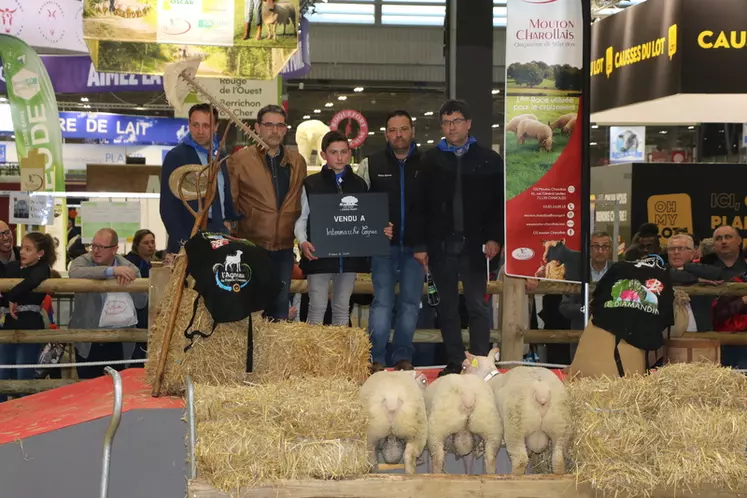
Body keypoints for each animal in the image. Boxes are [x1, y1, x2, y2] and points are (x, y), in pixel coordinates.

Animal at [462, 348, 572, 476]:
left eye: (464, 366)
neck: (489, 379)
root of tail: (542, 391)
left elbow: (489, 456)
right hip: (560, 426)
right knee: (558, 458)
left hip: (515, 426)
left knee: (520, 459)